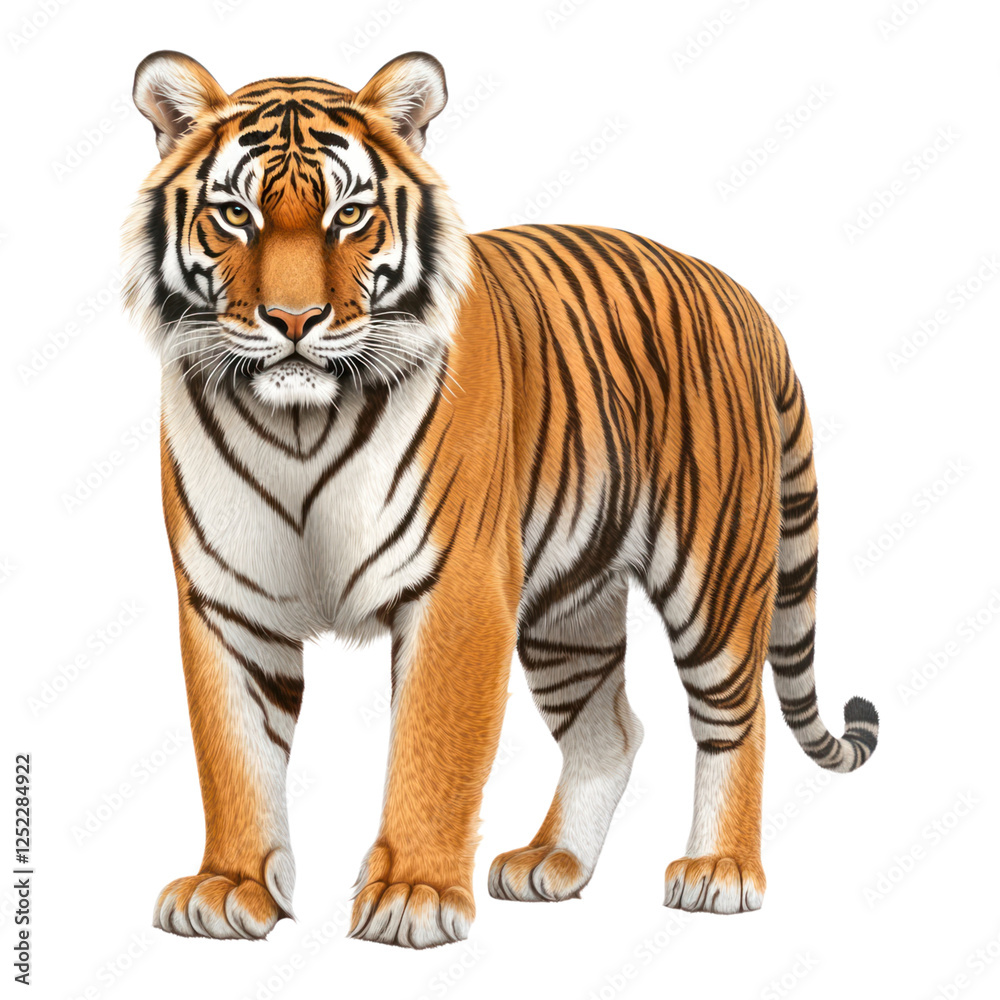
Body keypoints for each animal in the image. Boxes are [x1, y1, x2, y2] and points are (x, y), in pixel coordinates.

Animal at [122, 49, 879, 948]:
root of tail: (744, 302)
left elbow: (432, 747)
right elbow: (234, 752)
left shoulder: (458, 589)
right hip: (568, 608)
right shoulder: (226, 598)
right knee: (611, 728)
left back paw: (720, 870)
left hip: (715, 577)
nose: (294, 320)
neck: (301, 424)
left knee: (738, 716)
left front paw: (413, 894)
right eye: (235, 213)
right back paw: (553, 862)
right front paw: (230, 887)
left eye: (350, 214)